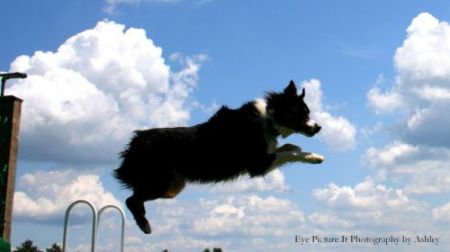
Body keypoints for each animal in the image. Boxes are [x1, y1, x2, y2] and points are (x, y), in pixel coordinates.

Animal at [112, 80, 324, 234]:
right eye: (301, 113)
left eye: (308, 112)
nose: (319, 127)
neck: (269, 118)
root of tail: (136, 140)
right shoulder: (258, 163)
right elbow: (290, 153)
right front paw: (314, 156)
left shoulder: (266, 155)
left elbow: (285, 148)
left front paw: (293, 145)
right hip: (160, 182)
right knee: (130, 200)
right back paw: (145, 225)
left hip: (173, 187)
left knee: (135, 198)